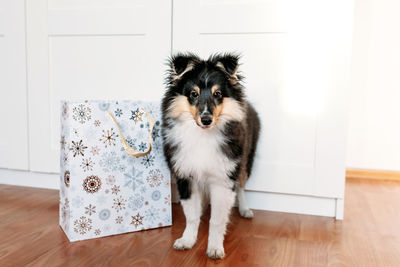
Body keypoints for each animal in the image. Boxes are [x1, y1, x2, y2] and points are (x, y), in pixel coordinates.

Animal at [161, 52, 260, 260]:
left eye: (218, 94)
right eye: (193, 94)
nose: (206, 119)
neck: (203, 135)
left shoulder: (223, 178)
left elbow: (217, 220)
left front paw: (214, 248)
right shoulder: (185, 175)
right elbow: (190, 215)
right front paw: (187, 240)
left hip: (246, 160)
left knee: (241, 186)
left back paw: (245, 209)